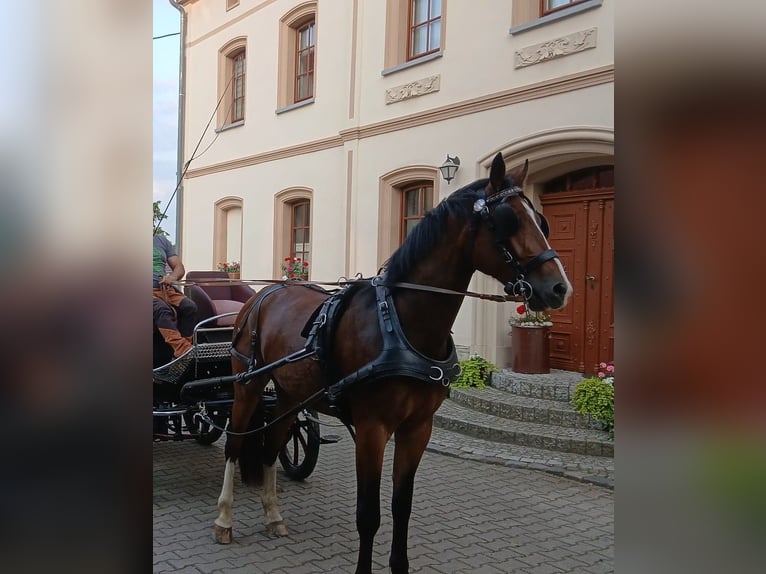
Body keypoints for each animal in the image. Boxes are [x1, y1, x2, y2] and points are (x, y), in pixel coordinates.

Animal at [212, 152, 572, 574]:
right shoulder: (372, 429)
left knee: (271, 445)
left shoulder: (418, 428)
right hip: (247, 385)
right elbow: (369, 514)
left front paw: (399, 564)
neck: (402, 326)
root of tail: (264, 294)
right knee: (235, 444)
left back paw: (273, 515)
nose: (559, 288)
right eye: (506, 221)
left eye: (541, 221)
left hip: (289, 395)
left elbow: (402, 506)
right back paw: (224, 520)